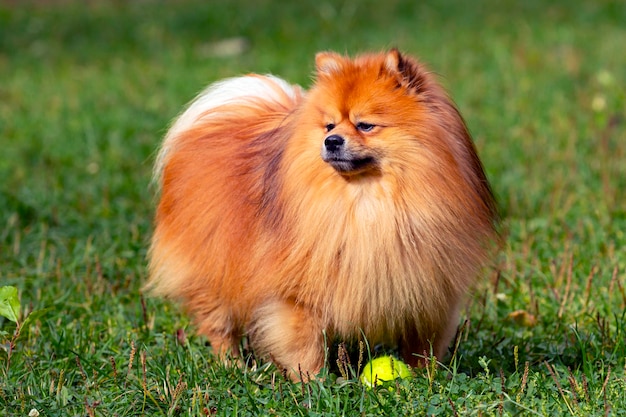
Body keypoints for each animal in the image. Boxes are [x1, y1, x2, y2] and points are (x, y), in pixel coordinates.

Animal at [145, 48, 492, 376]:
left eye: (365, 125)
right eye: (330, 125)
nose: (331, 140)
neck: (365, 201)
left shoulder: (430, 288)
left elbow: (424, 343)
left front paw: (424, 377)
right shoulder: (297, 294)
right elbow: (304, 343)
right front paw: (312, 382)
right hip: (214, 269)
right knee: (218, 324)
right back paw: (232, 365)